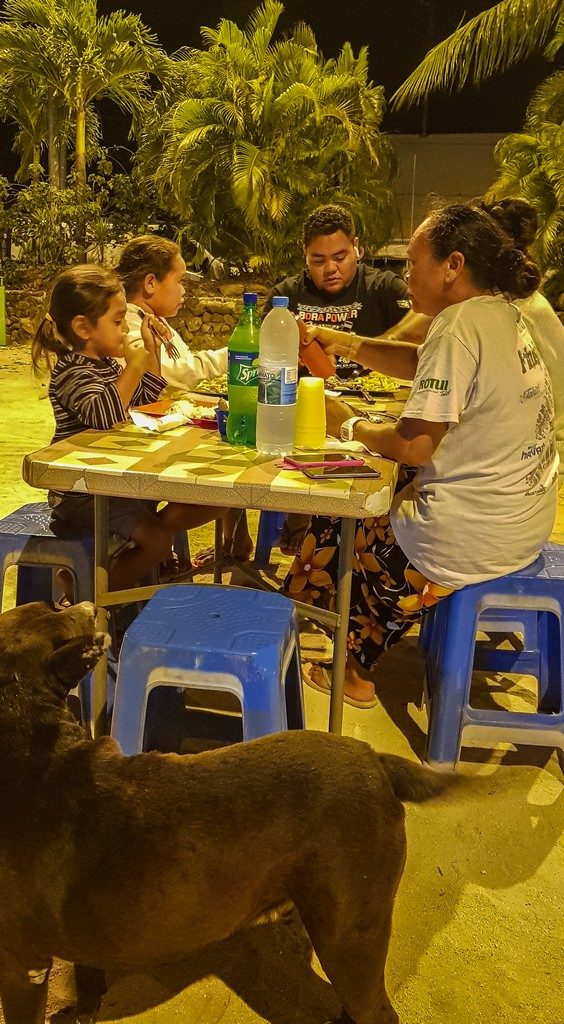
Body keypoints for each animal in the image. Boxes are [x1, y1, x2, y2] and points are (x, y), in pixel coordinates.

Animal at [0, 598, 452, 1024]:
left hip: (349, 933)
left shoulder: (21, 967)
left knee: (376, 1009)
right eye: (43, 609)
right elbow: (89, 980)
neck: (28, 737)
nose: (89, 607)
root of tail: (376, 761)